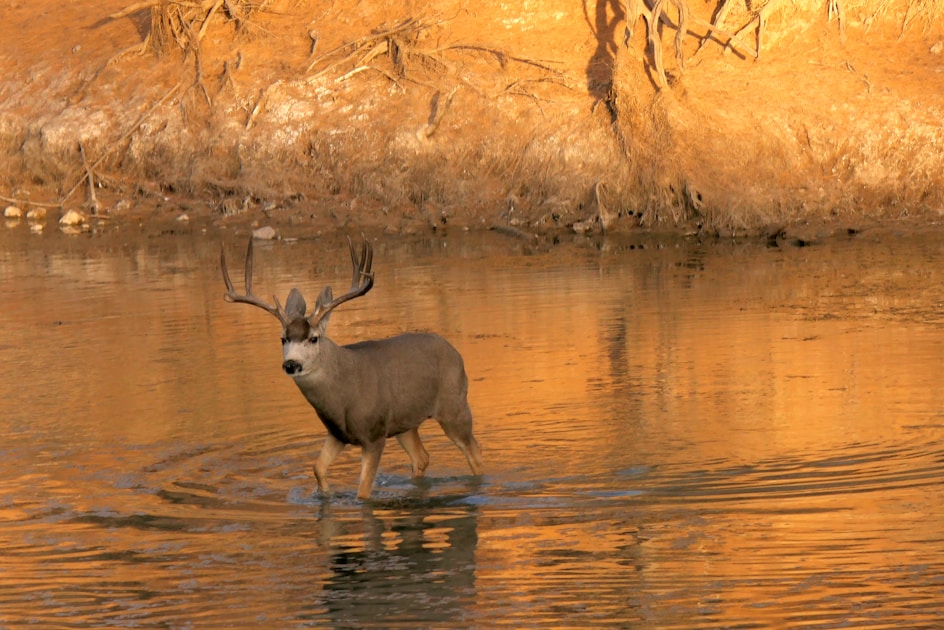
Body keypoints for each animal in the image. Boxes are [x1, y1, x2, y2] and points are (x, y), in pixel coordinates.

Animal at [221, 236, 484, 500]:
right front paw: (324, 495)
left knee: (475, 452)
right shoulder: (337, 433)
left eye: (314, 338)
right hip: (404, 422)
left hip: (453, 405)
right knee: (422, 457)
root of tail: (454, 351)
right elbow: (317, 467)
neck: (343, 393)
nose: (291, 364)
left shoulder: (374, 434)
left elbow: (363, 492)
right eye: (283, 338)